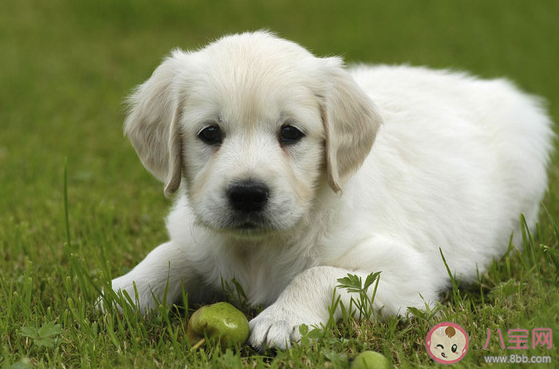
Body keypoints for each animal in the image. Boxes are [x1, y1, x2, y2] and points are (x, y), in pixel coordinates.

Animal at [109, 30, 556, 348]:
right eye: (209, 133)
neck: (260, 249)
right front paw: (122, 292)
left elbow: (320, 273)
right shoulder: (197, 239)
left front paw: (282, 319)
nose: (248, 194)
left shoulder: (407, 272)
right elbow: (167, 254)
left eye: (291, 133)